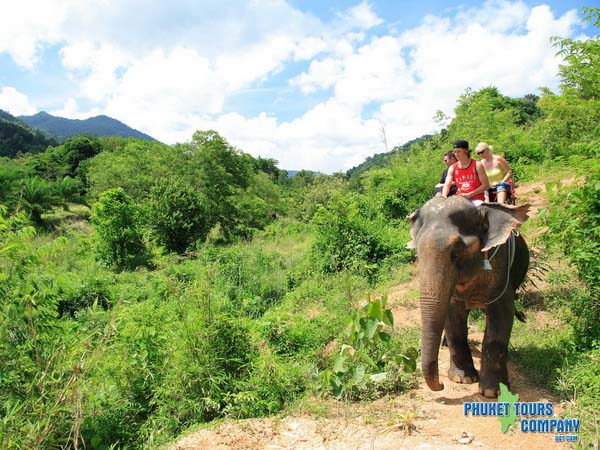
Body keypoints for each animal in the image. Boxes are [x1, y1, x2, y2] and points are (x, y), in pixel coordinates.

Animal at [408, 196, 528, 398]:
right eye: (417, 255)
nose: (441, 385)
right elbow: (453, 320)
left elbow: (501, 318)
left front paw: (492, 392)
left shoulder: (502, 273)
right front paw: (462, 379)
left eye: (455, 253)